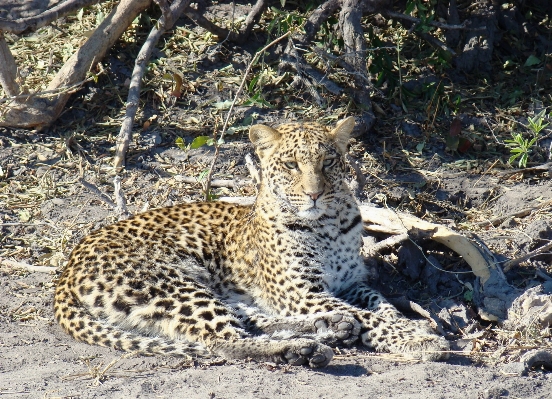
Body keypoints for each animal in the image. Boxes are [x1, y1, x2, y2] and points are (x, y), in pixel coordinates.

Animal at [52, 118, 448, 368]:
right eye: (290, 165)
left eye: (328, 162)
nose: (314, 194)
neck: (329, 225)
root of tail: (67, 270)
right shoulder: (299, 292)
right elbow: (370, 316)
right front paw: (418, 339)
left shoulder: (349, 284)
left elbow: (380, 305)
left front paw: (411, 327)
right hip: (171, 283)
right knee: (223, 340)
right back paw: (302, 349)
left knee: (249, 320)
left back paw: (330, 326)